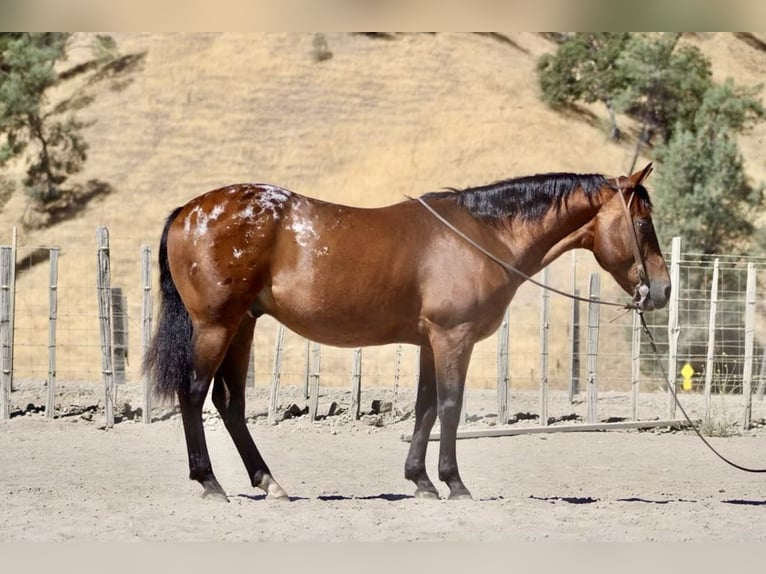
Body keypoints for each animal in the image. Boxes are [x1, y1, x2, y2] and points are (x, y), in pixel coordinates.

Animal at [143, 162, 670, 501]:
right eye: (643, 222)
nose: (663, 290)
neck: (480, 235)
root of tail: (189, 211)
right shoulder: (453, 338)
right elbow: (451, 408)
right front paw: (454, 483)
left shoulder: (429, 343)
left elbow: (426, 408)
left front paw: (421, 480)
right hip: (217, 325)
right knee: (194, 393)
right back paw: (210, 482)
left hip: (243, 325)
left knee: (230, 402)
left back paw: (268, 482)